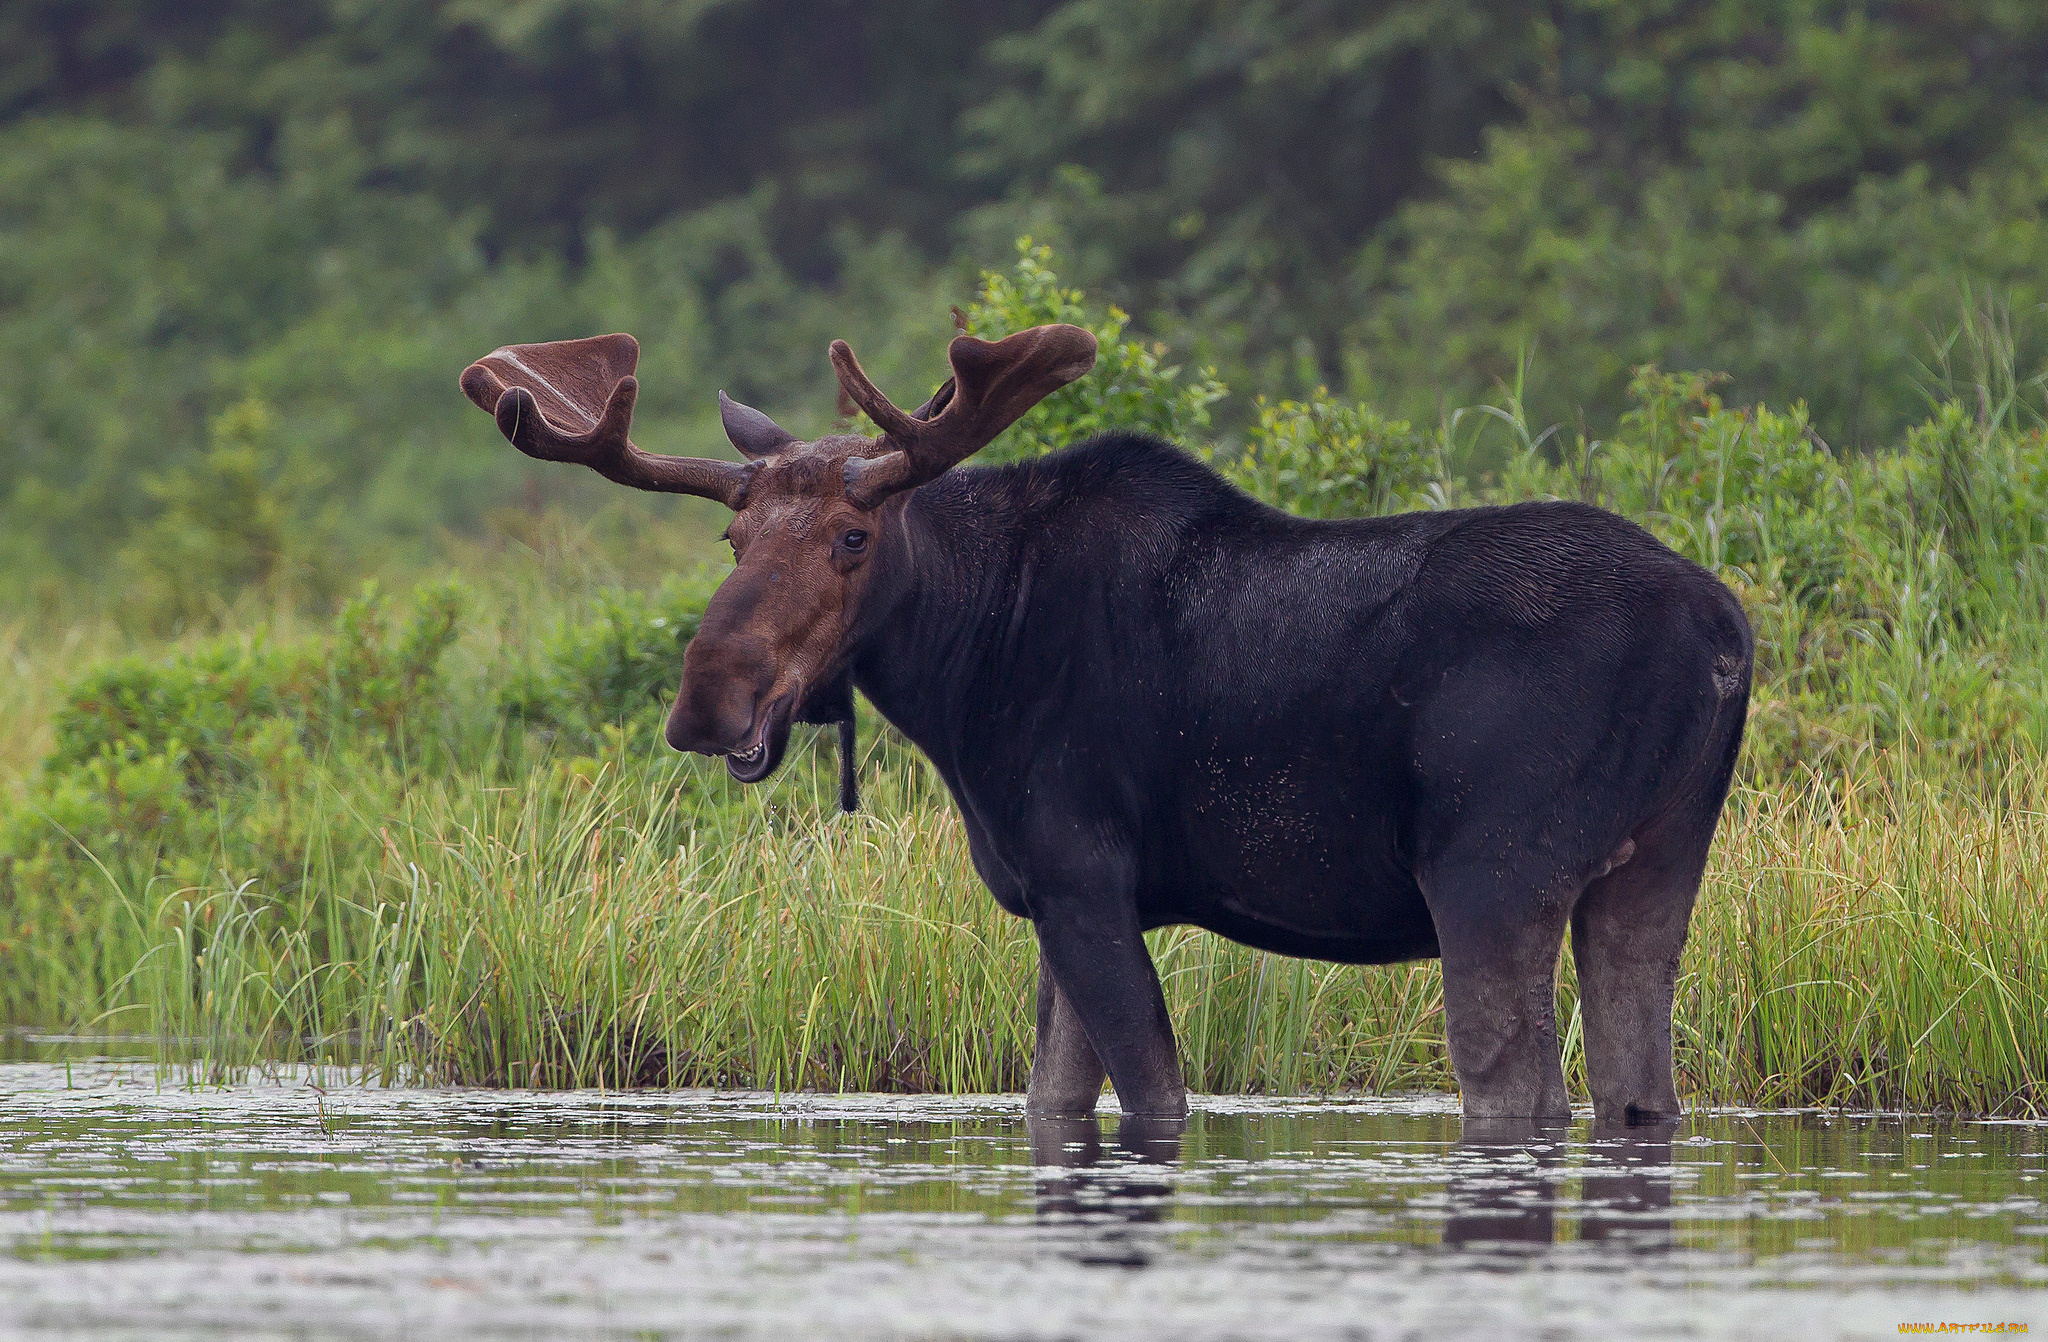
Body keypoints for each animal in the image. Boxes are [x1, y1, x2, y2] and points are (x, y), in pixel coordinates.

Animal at [468, 323, 1761, 1122]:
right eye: (731, 538)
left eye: (851, 536)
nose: (708, 699)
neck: (964, 664)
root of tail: (1724, 632)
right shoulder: (1050, 898)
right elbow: (1049, 1097)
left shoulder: (1084, 875)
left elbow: (1150, 1090)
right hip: (1653, 865)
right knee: (1638, 1086)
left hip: (1492, 870)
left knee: (1517, 1086)